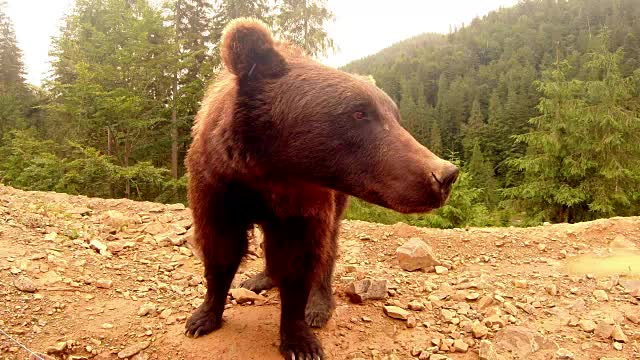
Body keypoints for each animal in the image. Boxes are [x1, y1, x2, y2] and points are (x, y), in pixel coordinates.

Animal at [185, 17, 460, 360]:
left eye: (395, 116)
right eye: (359, 112)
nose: (444, 174)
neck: (266, 170)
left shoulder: (304, 200)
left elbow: (300, 259)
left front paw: (300, 339)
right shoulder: (217, 184)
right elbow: (220, 247)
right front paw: (203, 317)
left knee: (327, 245)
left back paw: (318, 302)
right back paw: (261, 278)